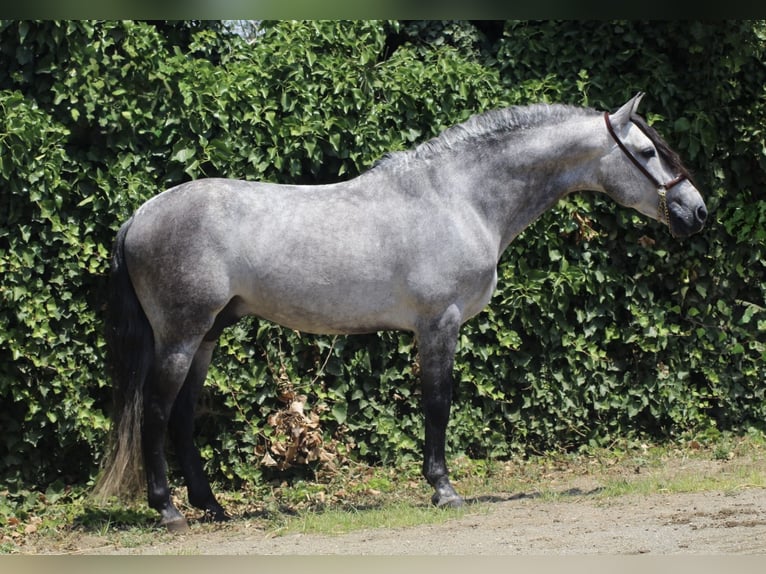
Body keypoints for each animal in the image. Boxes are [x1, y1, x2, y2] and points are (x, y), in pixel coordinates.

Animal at [94, 93, 707, 531]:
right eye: (648, 152)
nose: (697, 212)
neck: (460, 197)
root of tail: (141, 214)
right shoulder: (439, 324)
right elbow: (437, 405)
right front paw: (444, 489)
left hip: (207, 335)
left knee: (181, 415)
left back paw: (211, 507)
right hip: (180, 335)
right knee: (155, 412)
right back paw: (169, 511)